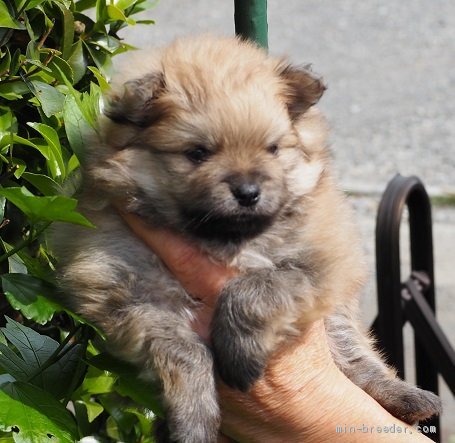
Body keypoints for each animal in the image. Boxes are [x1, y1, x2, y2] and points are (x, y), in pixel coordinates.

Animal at [52, 35, 442, 443]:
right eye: (198, 153)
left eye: (272, 149)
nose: (248, 192)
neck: (226, 239)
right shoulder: (125, 289)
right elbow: (184, 349)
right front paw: (193, 418)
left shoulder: (320, 264)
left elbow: (256, 287)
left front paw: (238, 353)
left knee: (355, 356)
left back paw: (406, 397)